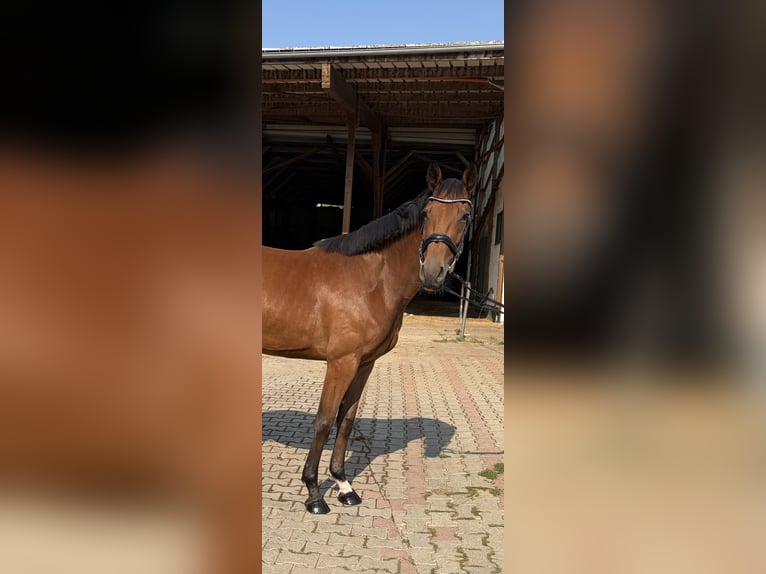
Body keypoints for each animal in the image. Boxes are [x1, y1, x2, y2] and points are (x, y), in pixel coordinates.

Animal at [263, 161, 476, 514]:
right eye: (427, 212)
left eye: (464, 216)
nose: (433, 273)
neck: (371, 280)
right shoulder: (340, 362)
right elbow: (324, 420)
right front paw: (314, 494)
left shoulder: (364, 364)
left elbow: (346, 419)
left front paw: (344, 486)